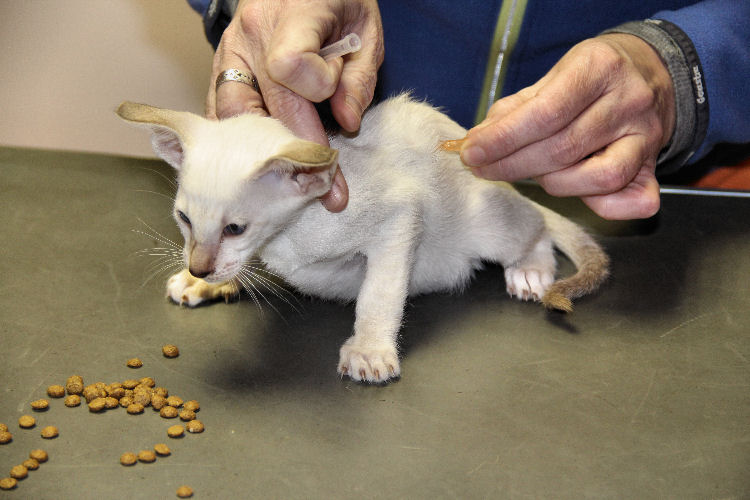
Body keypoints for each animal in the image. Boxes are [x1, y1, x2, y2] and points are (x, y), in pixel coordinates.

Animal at [117, 94, 609, 384]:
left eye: (234, 228)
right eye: (183, 219)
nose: (198, 267)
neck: (287, 240)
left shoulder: (400, 215)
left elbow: (379, 294)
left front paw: (370, 351)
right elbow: (240, 266)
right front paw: (202, 283)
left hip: (487, 220)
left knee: (536, 221)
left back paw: (530, 272)